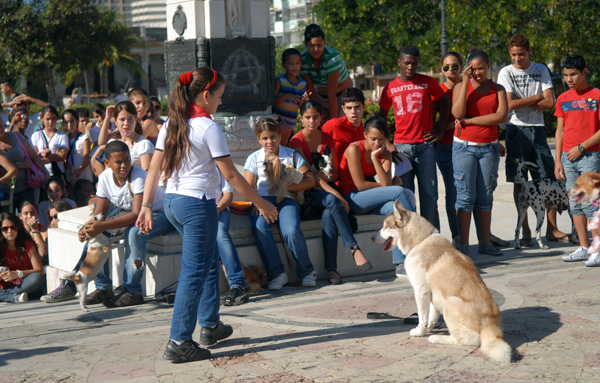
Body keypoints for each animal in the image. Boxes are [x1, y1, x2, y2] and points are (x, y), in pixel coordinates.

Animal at [372, 202, 512, 364]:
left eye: (385, 227)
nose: (371, 238)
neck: (421, 240)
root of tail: (490, 327)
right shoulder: (433, 294)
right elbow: (431, 317)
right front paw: (428, 328)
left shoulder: (421, 291)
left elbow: (422, 316)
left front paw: (420, 331)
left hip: (450, 303)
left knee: (465, 341)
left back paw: (438, 338)